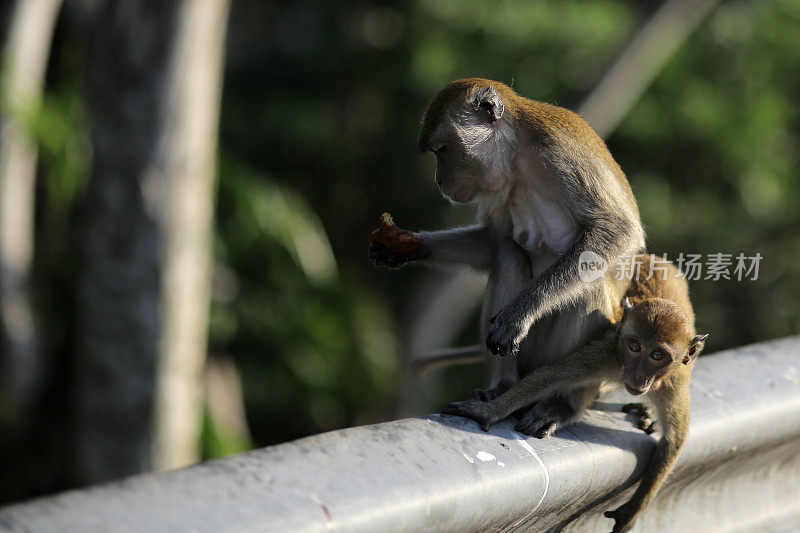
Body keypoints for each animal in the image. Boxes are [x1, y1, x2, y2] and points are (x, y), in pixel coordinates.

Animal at [368, 79, 644, 436]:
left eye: (443, 150)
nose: (439, 181)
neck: (516, 152)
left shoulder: (559, 151)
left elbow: (617, 228)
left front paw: (519, 313)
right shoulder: (499, 187)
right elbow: (493, 242)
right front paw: (406, 246)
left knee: (589, 286)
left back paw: (562, 404)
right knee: (508, 253)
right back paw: (504, 385)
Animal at [444, 256, 708, 528]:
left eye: (657, 355)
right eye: (635, 347)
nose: (638, 375)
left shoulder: (674, 382)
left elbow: (674, 440)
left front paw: (634, 508)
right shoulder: (608, 353)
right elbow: (552, 375)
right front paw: (486, 411)